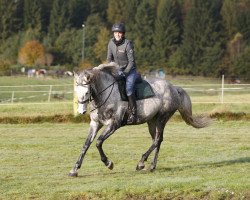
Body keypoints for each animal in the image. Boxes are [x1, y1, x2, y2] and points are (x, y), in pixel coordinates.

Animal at [69, 62, 213, 177]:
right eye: (76, 91)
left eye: (86, 92)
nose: (81, 111)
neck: (105, 96)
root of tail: (173, 88)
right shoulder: (95, 124)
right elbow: (86, 145)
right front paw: (74, 169)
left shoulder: (113, 125)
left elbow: (98, 142)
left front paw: (108, 163)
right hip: (152, 121)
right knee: (157, 140)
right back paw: (152, 166)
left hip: (162, 118)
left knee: (157, 140)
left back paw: (141, 163)